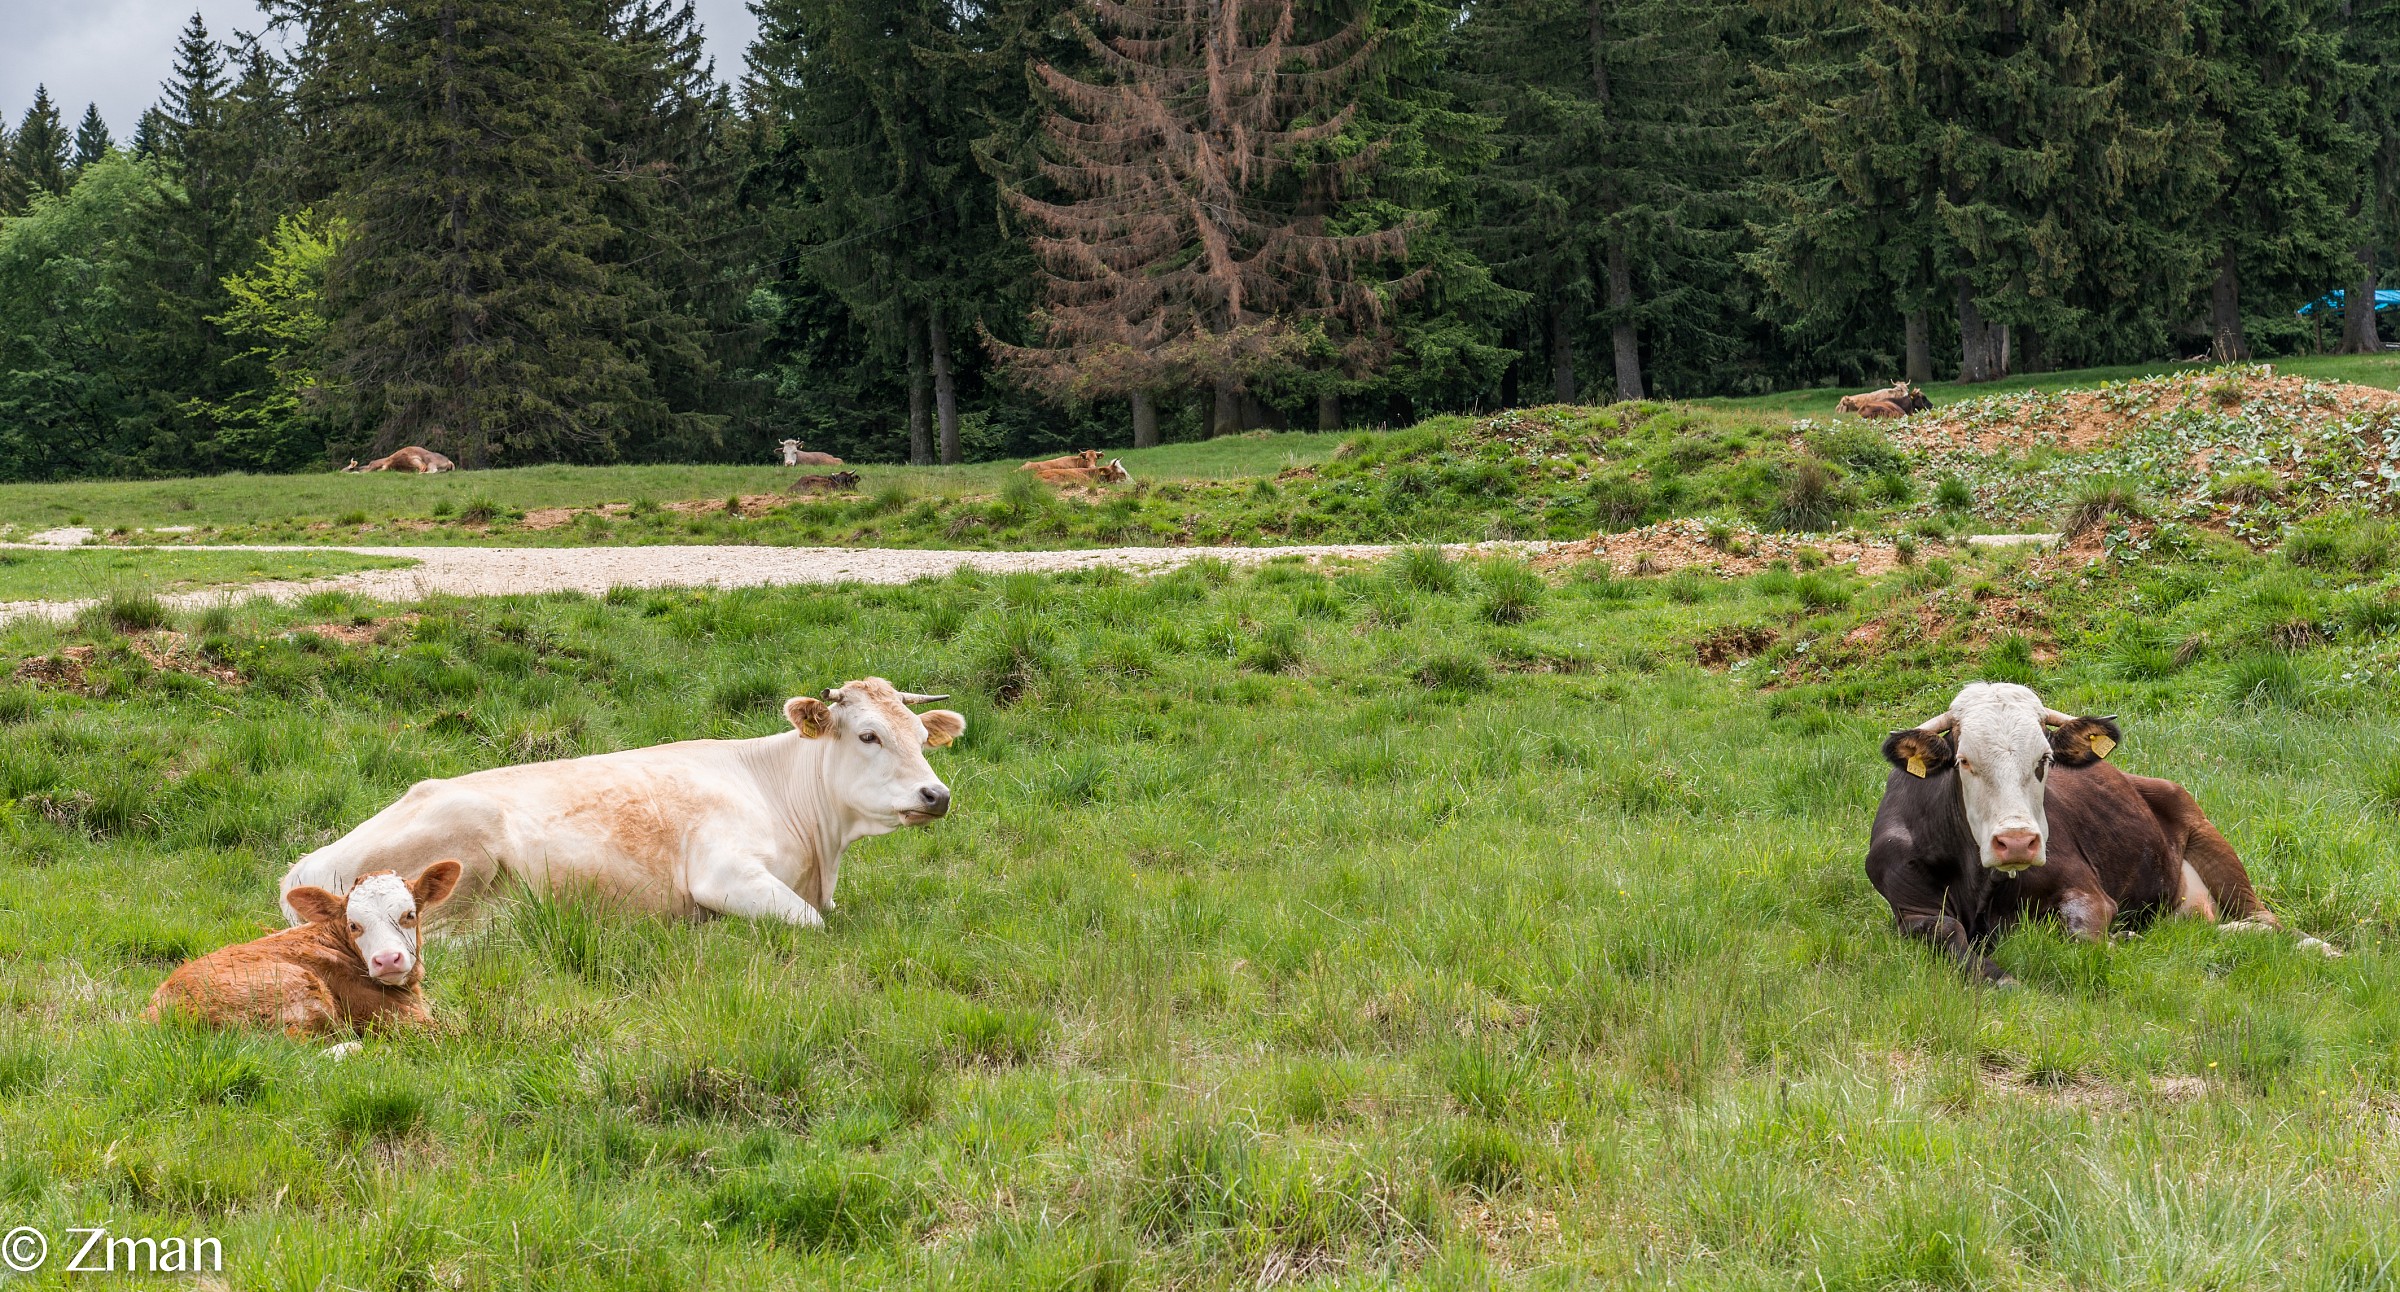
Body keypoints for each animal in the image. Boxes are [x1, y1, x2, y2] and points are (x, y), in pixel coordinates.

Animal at [279, 679, 964, 930]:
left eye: (920, 734)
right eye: (869, 735)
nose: (937, 794)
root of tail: (306, 864)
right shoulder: (725, 871)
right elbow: (814, 925)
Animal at [1868, 682, 2332, 982]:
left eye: (2045, 759)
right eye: (1963, 760)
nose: (2017, 842)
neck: (1979, 883)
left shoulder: (2085, 890)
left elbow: (2083, 937)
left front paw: (2117, 940)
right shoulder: (1911, 908)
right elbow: (1949, 936)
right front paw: (1996, 975)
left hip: (2208, 837)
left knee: (2264, 919)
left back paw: (2318, 947)